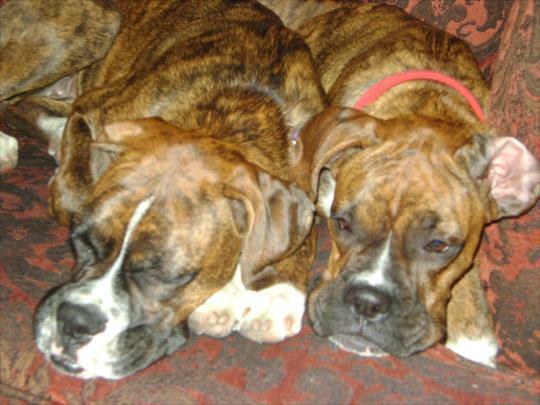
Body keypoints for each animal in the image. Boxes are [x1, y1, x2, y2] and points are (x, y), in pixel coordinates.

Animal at [0, 0, 327, 379]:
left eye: (168, 277)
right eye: (80, 242)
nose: (75, 321)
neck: (241, 102)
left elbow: (301, 232)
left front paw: (277, 292)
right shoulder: (91, 108)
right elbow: (73, 193)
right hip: (88, 28)